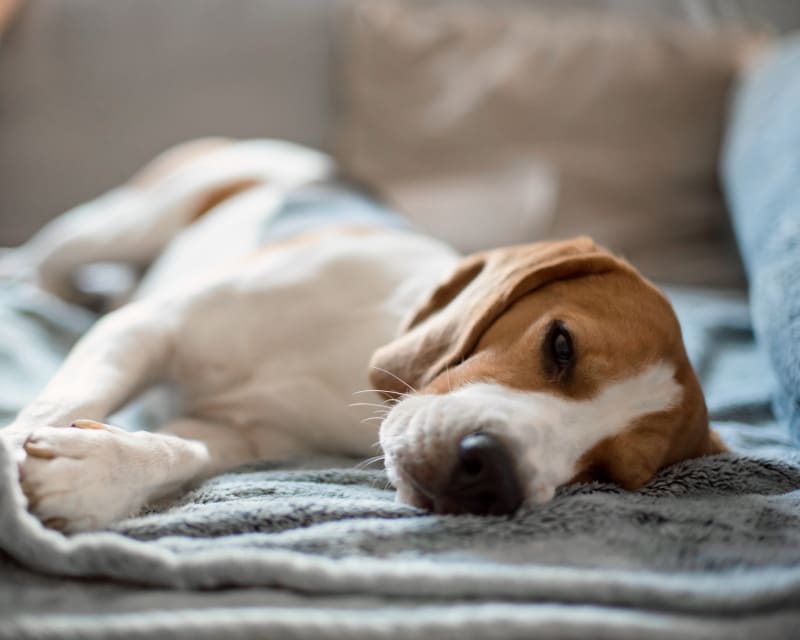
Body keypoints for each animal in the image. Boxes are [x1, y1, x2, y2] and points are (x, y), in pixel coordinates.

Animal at [0, 139, 724, 528]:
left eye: (608, 474)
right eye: (561, 346)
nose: (494, 478)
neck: (352, 361)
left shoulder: (242, 434)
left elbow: (183, 451)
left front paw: (96, 474)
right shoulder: (150, 328)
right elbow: (64, 400)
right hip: (118, 225)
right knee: (42, 265)